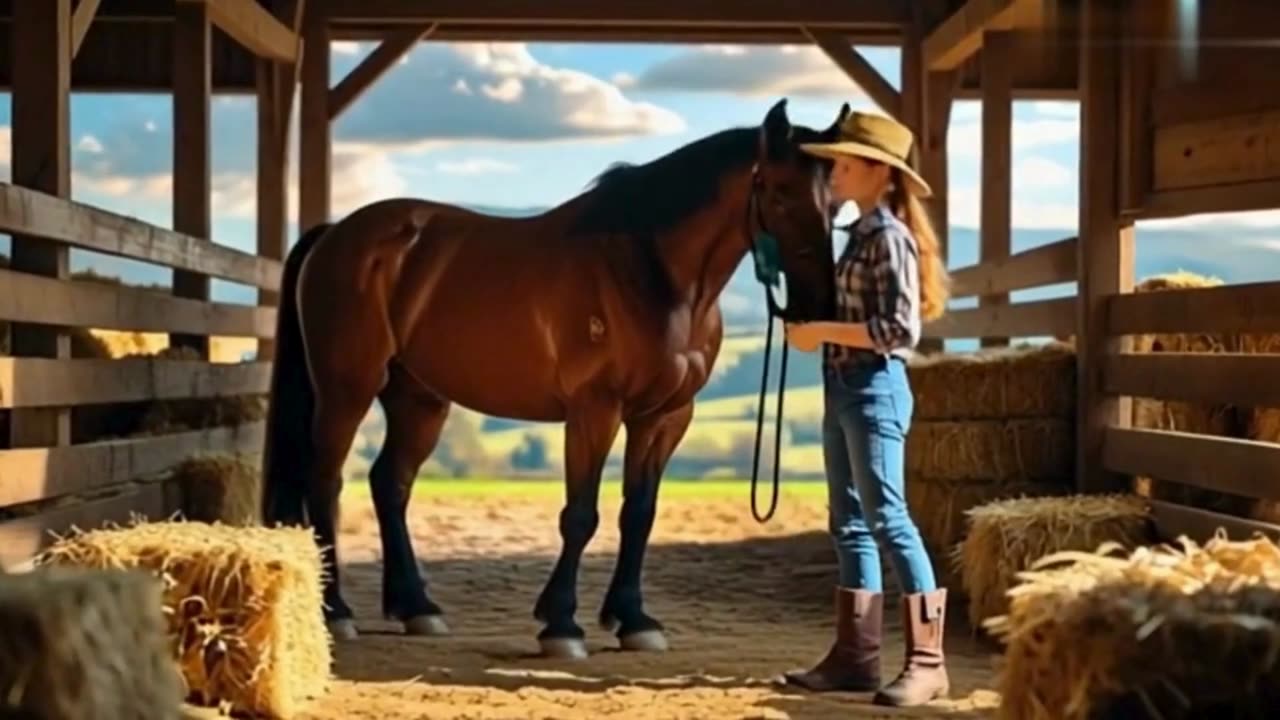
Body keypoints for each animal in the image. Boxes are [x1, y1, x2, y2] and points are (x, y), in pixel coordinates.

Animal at [259, 99, 844, 655]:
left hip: (419, 398)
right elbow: (580, 515)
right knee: (326, 481)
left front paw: (634, 621)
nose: (820, 305)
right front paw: (561, 625)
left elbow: (639, 513)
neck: (650, 271)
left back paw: (418, 608)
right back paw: (337, 612)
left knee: (390, 483)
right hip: (347, 387)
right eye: (781, 193)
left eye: (836, 205)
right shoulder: (594, 409)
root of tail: (336, 234)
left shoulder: (665, 417)